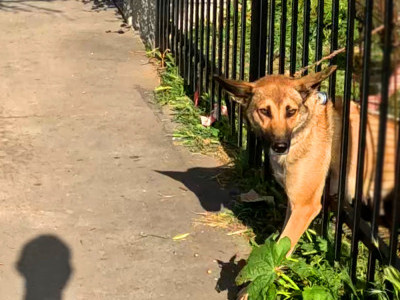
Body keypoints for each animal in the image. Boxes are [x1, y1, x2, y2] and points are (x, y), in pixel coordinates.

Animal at [214, 65, 396, 255]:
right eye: (264, 111)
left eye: (291, 111)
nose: (280, 146)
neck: (303, 128)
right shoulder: (294, 204)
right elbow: (283, 242)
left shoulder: (304, 207)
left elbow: (280, 249)